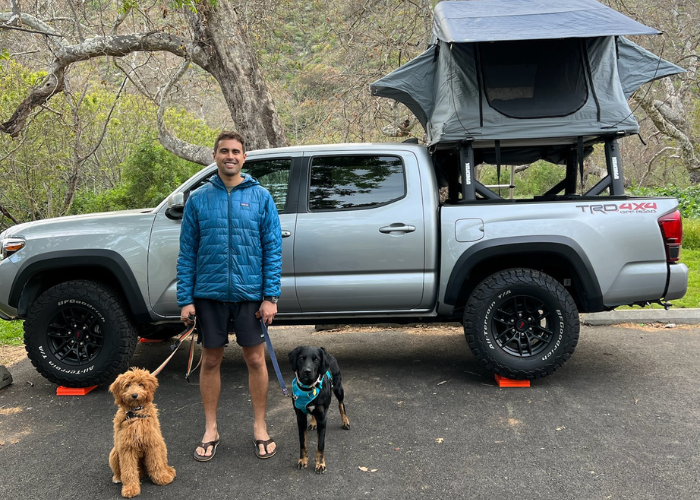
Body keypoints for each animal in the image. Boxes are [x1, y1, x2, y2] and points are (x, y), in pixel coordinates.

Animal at [109, 368, 176, 496]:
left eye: (141, 384)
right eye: (127, 385)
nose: (134, 395)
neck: (136, 413)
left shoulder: (152, 443)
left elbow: (156, 463)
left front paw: (161, 478)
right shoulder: (126, 448)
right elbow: (128, 470)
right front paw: (130, 488)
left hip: (162, 445)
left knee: (163, 462)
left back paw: (168, 471)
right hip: (114, 453)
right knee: (121, 471)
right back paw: (118, 477)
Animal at [288, 346, 350, 474]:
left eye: (316, 359)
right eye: (301, 358)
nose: (307, 371)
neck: (308, 388)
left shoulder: (322, 418)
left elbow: (320, 445)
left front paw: (320, 463)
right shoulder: (300, 417)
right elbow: (303, 443)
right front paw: (302, 460)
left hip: (338, 388)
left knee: (341, 404)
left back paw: (345, 421)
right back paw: (313, 422)